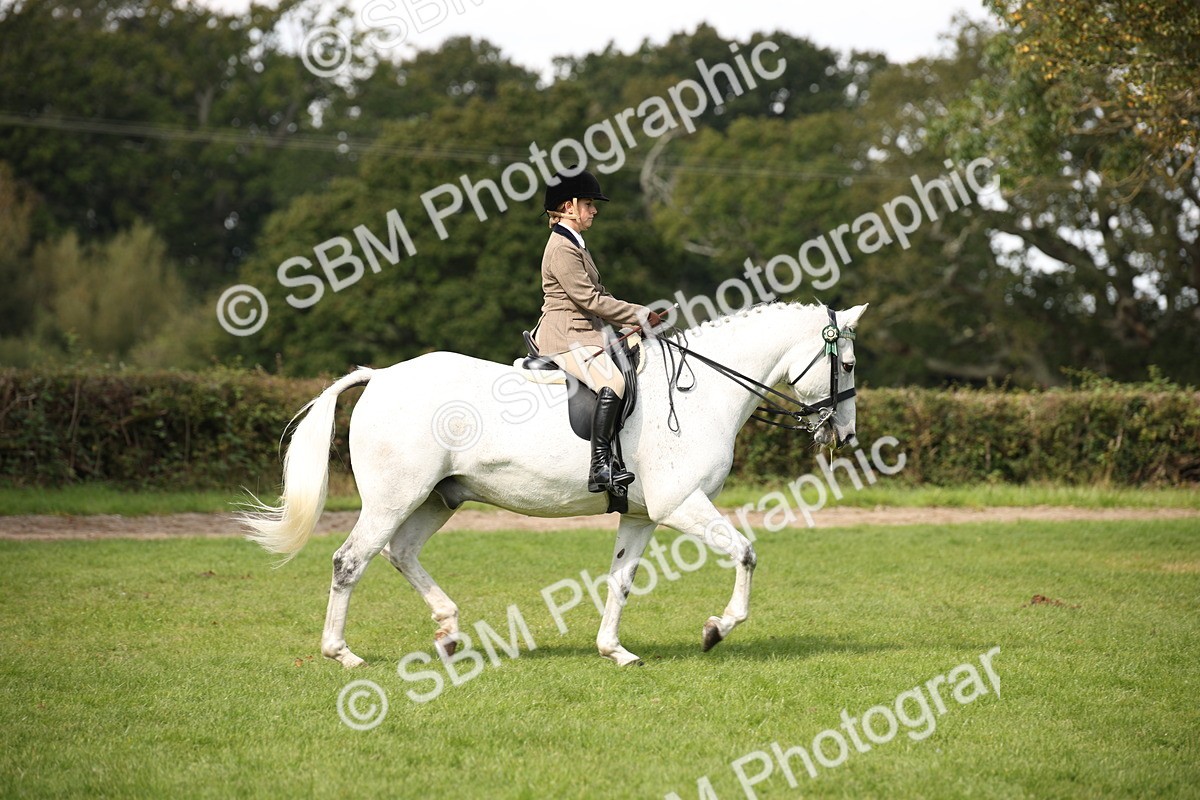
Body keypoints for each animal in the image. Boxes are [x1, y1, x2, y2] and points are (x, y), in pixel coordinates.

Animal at [241, 301, 868, 668]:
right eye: (849, 365)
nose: (844, 434)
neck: (702, 392)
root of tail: (381, 377)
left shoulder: (640, 515)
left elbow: (620, 580)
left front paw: (614, 651)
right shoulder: (681, 505)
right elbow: (745, 552)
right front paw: (717, 629)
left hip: (439, 497)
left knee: (401, 552)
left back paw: (448, 632)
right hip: (395, 498)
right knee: (351, 560)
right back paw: (341, 653)